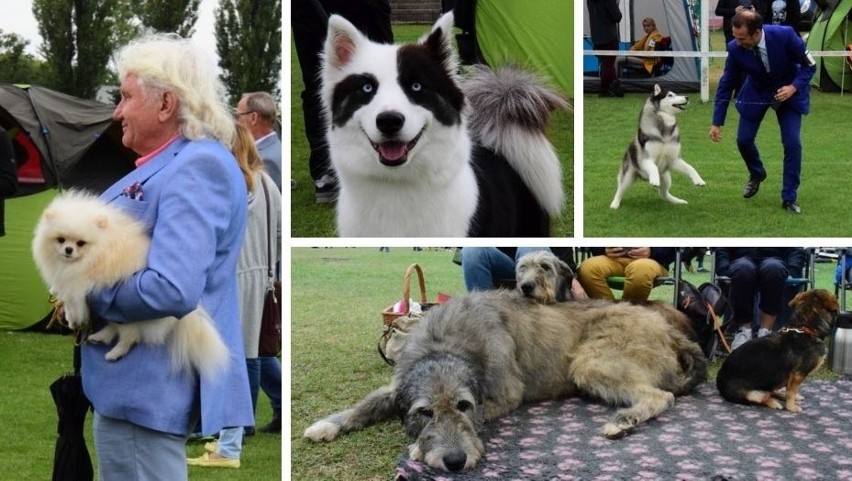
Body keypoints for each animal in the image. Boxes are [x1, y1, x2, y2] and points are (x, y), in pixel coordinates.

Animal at [32, 190, 228, 376]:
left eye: (80, 243)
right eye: (60, 239)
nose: (68, 249)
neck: (99, 247)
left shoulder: (82, 281)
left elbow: (73, 298)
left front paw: (72, 317)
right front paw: (57, 295)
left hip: (130, 316)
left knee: (129, 336)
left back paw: (114, 353)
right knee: (114, 327)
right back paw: (99, 336)